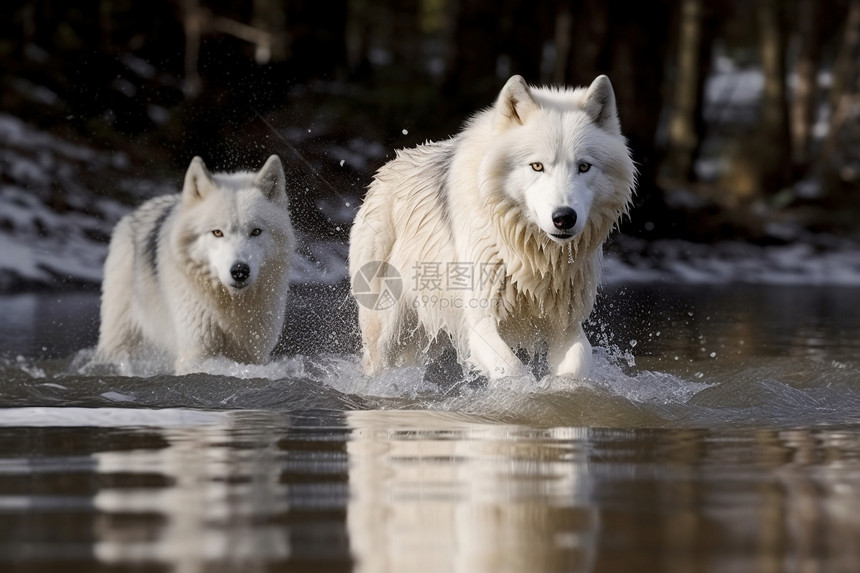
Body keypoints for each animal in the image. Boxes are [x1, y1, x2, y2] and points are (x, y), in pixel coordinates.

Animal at [95, 154, 296, 374]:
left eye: (256, 231)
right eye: (217, 232)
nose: (240, 271)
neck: (230, 307)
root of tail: (139, 211)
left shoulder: (253, 356)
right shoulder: (196, 355)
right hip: (120, 341)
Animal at [346, 76, 636, 380]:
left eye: (583, 167)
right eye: (537, 166)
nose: (564, 217)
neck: (533, 259)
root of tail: (388, 166)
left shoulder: (566, 326)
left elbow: (573, 372)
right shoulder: (481, 322)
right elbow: (513, 371)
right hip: (388, 330)